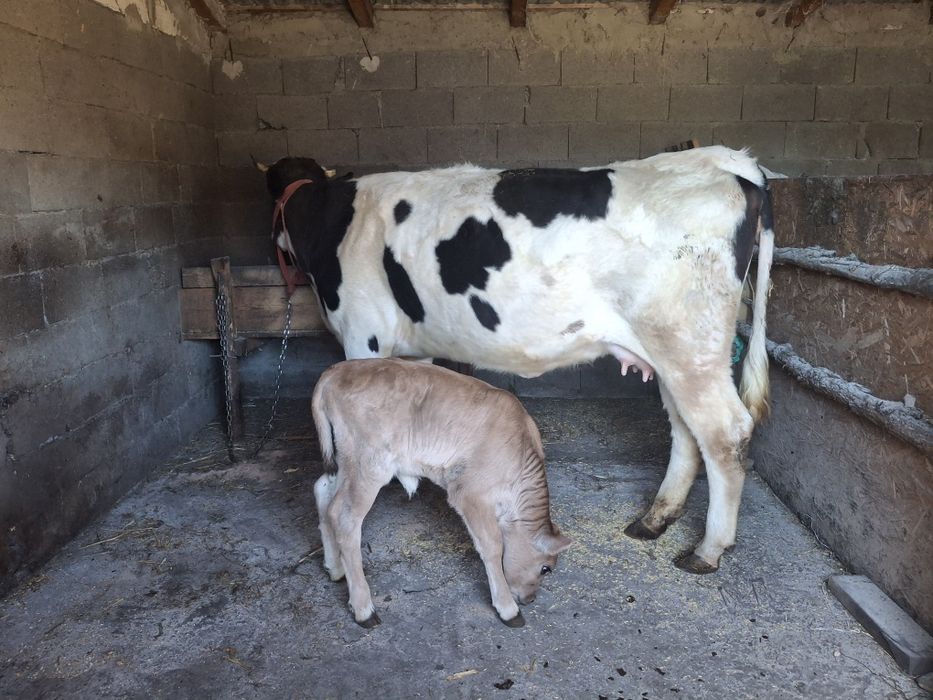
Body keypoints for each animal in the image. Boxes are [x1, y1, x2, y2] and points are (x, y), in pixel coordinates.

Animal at [258, 145, 775, 575]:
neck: (332, 221)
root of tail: (726, 164)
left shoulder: (362, 335)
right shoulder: (414, 348)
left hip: (690, 347)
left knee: (725, 434)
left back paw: (708, 550)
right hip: (673, 354)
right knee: (687, 431)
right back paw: (654, 519)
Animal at [311, 358, 571, 627]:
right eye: (546, 568)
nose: (530, 599)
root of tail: (335, 371)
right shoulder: (469, 493)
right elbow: (492, 546)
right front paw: (508, 608)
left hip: (344, 461)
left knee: (323, 492)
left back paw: (335, 568)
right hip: (369, 465)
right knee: (344, 517)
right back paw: (364, 609)